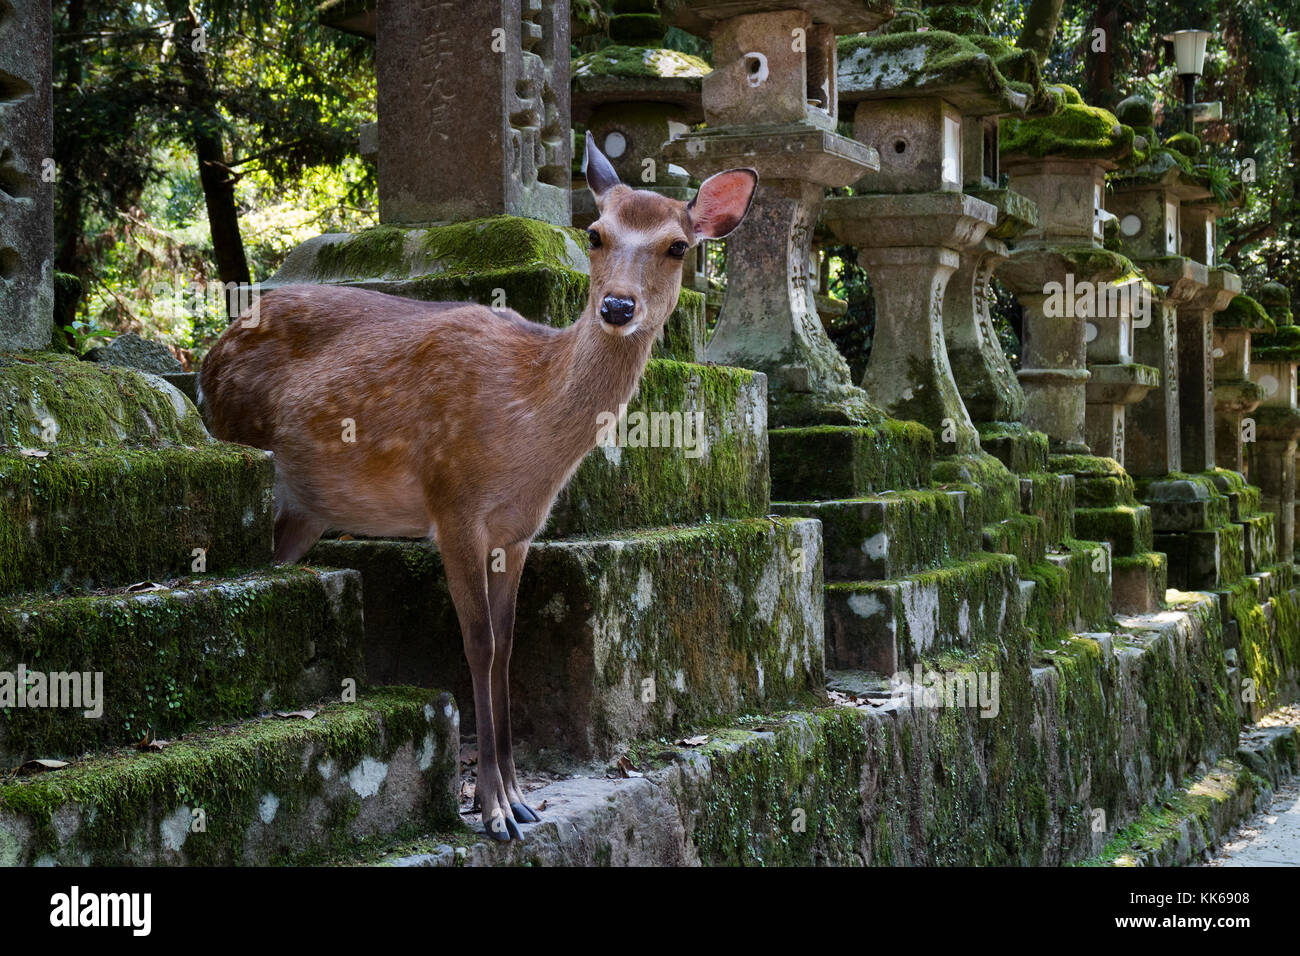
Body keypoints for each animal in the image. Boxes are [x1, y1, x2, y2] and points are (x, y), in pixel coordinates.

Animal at [197, 132, 759, 837]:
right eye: (595, 234)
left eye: (678, 246)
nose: (617, 306)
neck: (527, 437)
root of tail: (206, 359)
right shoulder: (453, 503)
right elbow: (479, 643)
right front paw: (491, 810)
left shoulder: (517, 532)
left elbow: (510, 644)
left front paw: (520, 798)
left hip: (303, 513)